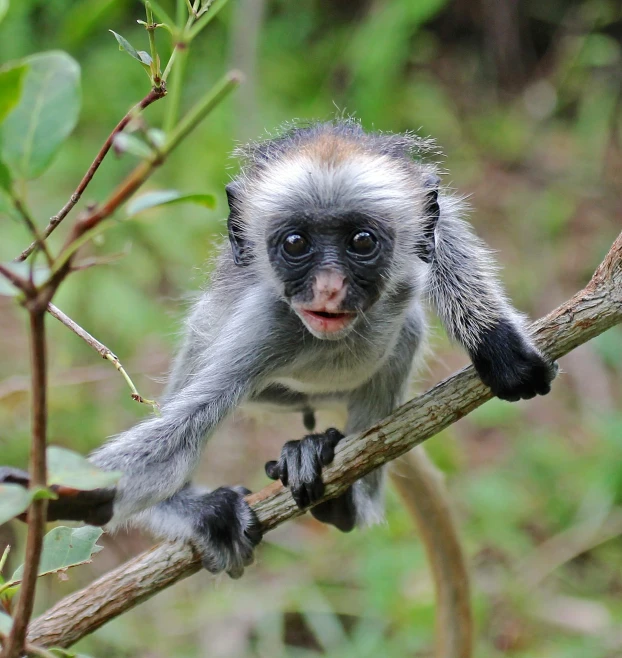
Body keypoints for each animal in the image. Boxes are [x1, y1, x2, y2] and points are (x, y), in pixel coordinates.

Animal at [0, 120, 556, 576]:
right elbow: (180, 434)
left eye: (360, 242)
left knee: (407, 333)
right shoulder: (264, 327)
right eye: (295, 244)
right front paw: (72, 494)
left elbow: (442, 233)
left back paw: (342, 492)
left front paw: (496, 343)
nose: (329, 289)